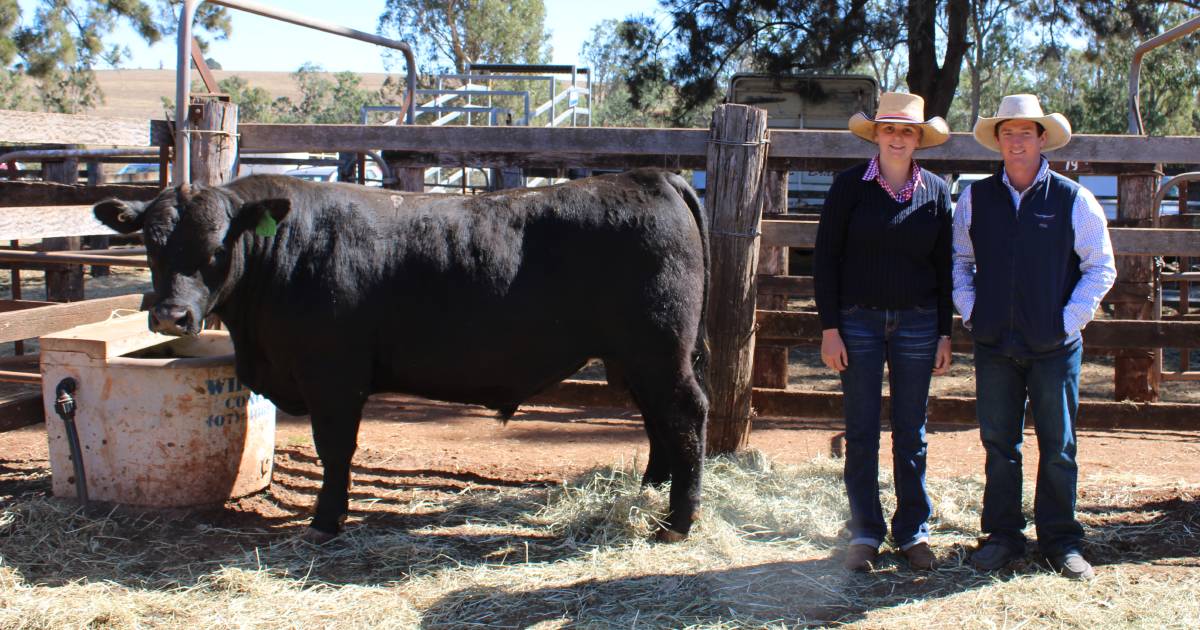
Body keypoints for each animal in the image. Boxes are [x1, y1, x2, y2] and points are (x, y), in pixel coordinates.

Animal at [96, 168, 710, 540]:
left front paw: (327, 520)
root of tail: (650, 175)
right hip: (638, 357)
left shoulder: (333, 375)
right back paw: (648, 493)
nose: (170, 316)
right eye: (150, 244)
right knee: (658, 420)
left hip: (660, 350)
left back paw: (675, 522)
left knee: (685, 414)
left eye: (216, 248)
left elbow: (335, 450)